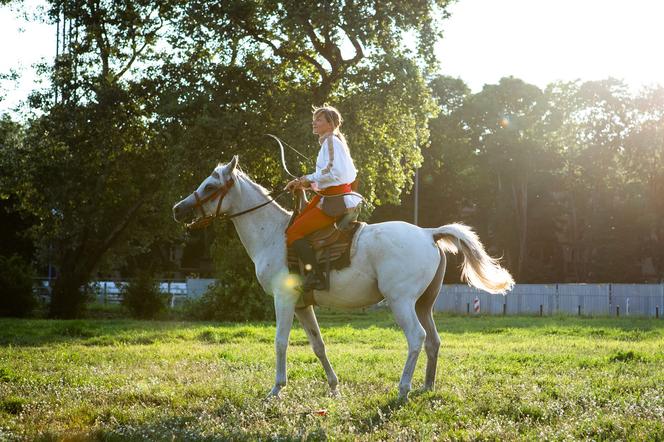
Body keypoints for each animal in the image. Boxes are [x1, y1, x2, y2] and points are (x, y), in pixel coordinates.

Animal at [172, 157, 512, 398]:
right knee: (433, 341)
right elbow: (318, 344)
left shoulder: (284, 299)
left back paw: (403, 389)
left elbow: (280, 342)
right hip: (423, 304)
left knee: (417, 337)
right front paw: (334, 386)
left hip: (401, 302)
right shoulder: (302, 305)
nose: (178, 209)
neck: (273, 235)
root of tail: (429, 233)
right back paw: (427, 386)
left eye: (210, 187)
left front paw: (277, 389)